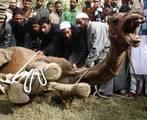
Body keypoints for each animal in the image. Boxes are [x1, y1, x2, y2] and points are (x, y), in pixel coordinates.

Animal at [0, 12, 144, 106]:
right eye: (115, 20)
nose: (137, 16)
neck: (72, 74)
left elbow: (79, 89)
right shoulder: (42, 61)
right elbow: (45, 70)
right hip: (6, 52)